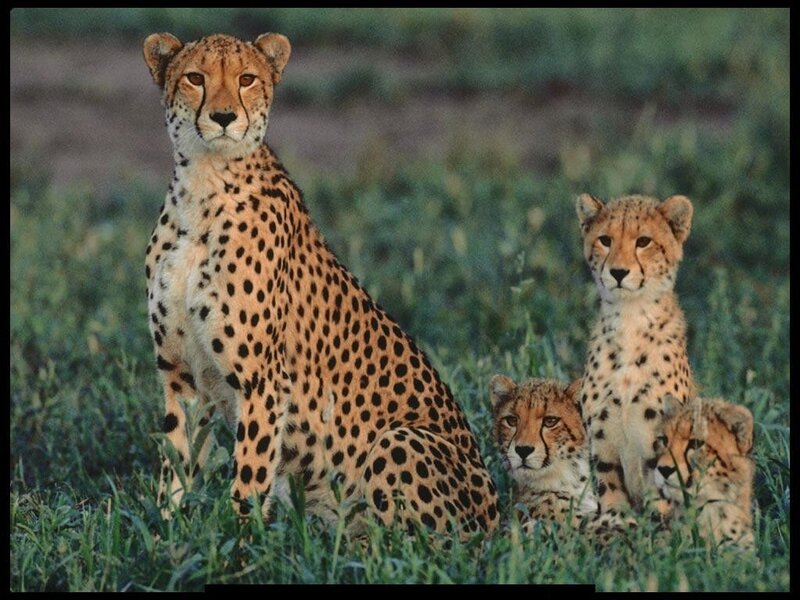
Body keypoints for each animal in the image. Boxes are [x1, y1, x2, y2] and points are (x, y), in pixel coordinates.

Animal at [141, 31, 499, 536]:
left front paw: (239, 539)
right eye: (195, 77)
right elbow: (177, 461)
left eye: (246, 79)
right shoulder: (180, 374)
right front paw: (167, 530)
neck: (205, 184)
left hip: (399, 440)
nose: (224, 117)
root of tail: (497, 518)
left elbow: (248, 474)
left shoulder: (263, 381)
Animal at [575, 193, 696, 515]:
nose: (618, 272)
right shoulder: (603, 446)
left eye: (643, 241)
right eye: (605, 240)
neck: (630, 319)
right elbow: (612, 499)